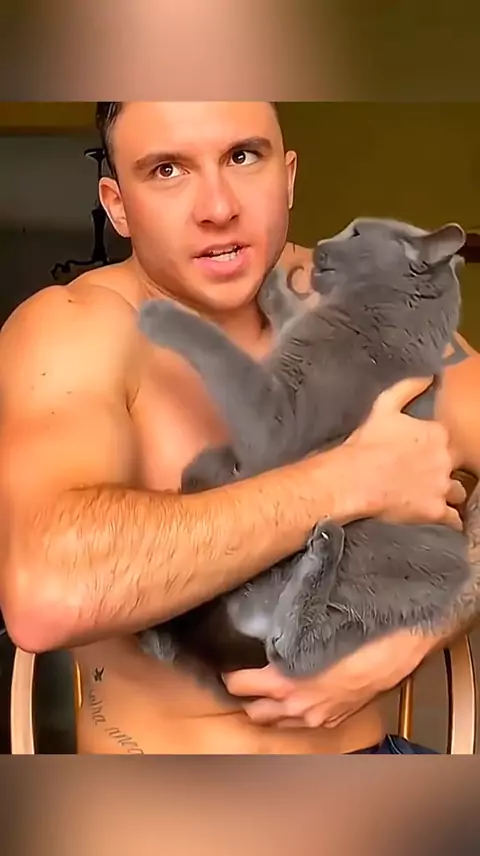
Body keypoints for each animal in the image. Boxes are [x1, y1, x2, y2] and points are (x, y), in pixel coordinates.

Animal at [137, 217, 471, 681]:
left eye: (356, 233)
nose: (321, 247)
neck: (375, 311)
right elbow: (290, 315)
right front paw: (274, 285)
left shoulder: (280, 416)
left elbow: (222, 352)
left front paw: (159, 315)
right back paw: (158, 635)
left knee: (292, 655)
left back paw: (323, 548)